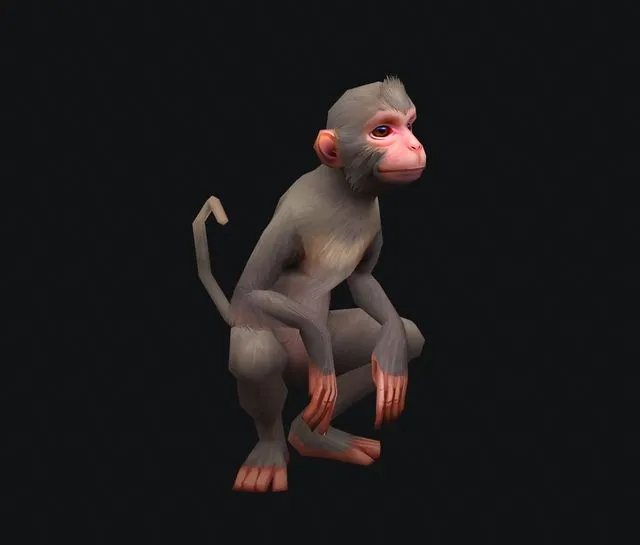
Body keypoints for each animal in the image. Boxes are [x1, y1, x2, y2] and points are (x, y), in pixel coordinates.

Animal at [193, 76, 427, 493]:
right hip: (281, 347)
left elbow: (364, 282)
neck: (343, 190)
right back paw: (271, 451)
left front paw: (392, 350)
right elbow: (249, 290)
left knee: (404, 338)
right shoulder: (294, 215)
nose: (415, 145)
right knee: (257, 355)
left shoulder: (373, 214)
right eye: (382, 131)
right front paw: (316, 338)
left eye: (411, 125)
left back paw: (312, 436)